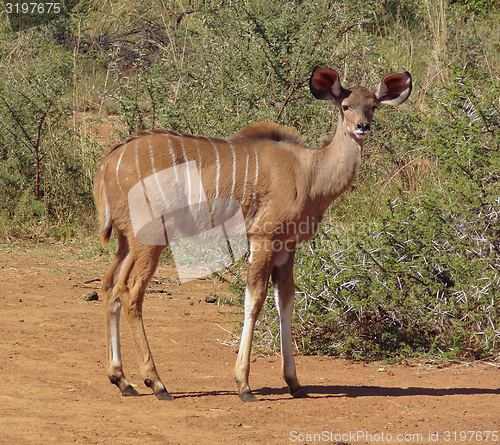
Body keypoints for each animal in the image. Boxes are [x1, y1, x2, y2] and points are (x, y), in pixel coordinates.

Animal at [93, 66, 410, 402]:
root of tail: (108, 163)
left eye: (373, 106)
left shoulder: (287, 245)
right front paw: (243, 384)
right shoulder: (263, 237)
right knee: (131, 292)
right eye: (345, 106)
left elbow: (285, 300)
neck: (310, 171)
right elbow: (254, 299)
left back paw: (122, 380)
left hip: (127, 241)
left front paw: (294, 383)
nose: (362, 127)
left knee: (110, 286)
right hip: (151, 238)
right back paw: (156, 382)